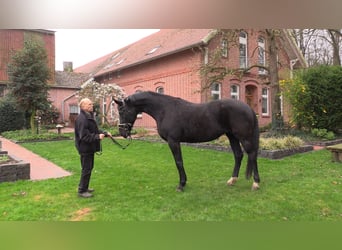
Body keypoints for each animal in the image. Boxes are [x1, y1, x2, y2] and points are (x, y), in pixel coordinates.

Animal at [113, 92, 260, 191]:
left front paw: (181, 184)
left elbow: (179, 162)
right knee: (238, 155)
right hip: (232, 136)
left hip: (244, 137)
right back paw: (232, 180)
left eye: (122, 110)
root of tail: (248, 108)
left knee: (252, 155)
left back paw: (256, 183)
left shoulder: (173, 141)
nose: (122, 132)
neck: (164, 110)